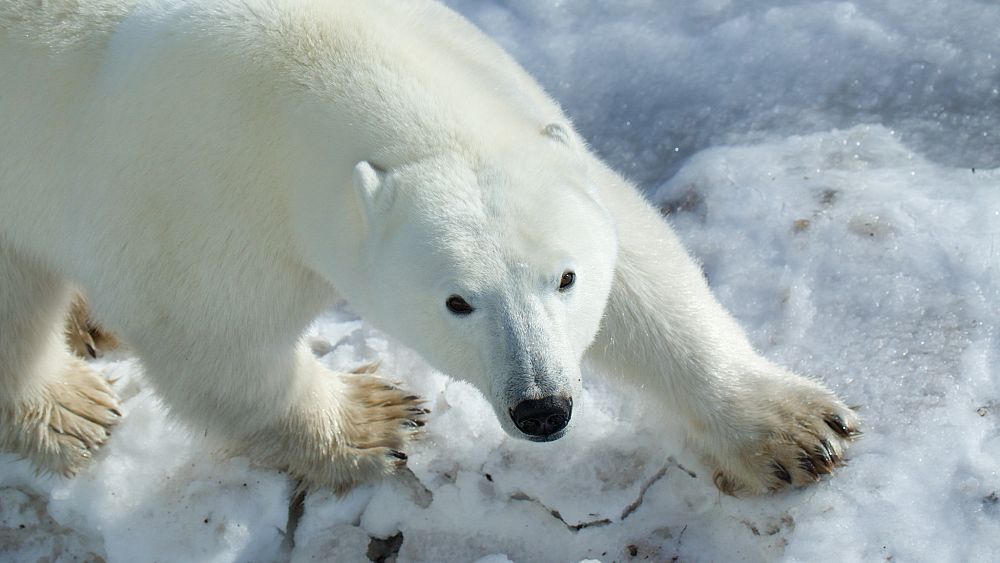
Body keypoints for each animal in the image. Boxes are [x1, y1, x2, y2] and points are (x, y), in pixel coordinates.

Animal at [0, 0, 860, 496]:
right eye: (457, 301)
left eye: (566, 278)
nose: (543, 407)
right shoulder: (196, 195)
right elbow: (216, 341)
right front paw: (371, 420)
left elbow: (642, 266)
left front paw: (796, 429)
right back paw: (68, 407)